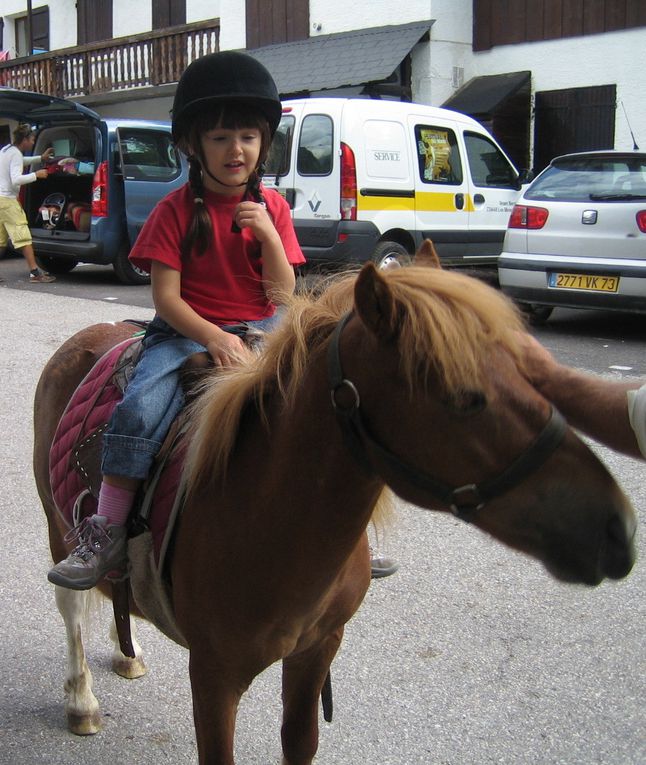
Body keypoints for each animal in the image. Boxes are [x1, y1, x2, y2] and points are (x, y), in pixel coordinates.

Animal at [33, 262, 636, 764]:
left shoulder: (316, 651)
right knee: (73, 606)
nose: (617, 528)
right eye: (465, 398)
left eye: (532, 374)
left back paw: (127, 652)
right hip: (59, 530)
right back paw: (82, 700)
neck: (268, 519)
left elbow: (300, 742)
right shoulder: (213, 674)